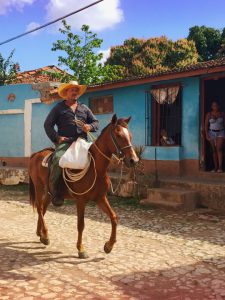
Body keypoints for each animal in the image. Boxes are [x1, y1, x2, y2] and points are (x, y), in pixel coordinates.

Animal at [28, 114, 139, 258]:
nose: (133, 160)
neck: (96, 168)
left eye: (130, 136)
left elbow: (114, 217)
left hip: (49, 191)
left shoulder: (100, 198)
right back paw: (45, 235)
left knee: (43, 208)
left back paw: (40, 233)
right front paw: (81, 249)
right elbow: (81, 224)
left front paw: (109, 245)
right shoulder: (81, 200)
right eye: (118, 135)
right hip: (38, 187)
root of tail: (35, 155)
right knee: (40, 208)